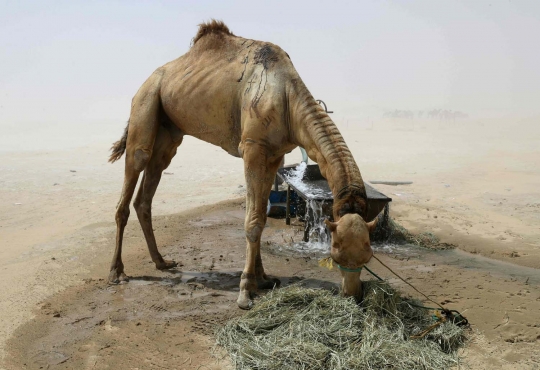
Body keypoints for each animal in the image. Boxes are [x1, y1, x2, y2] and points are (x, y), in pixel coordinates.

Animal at [107, 20, 378, 310]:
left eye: (368, 255)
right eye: (337, 254)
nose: (353, 295)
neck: (286, 96)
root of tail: (145, 83)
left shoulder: (273, 155)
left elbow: (260, 214)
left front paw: (263, 278)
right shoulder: (252, 147)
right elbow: (253, 220)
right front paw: (246, 291)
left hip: (169, 131)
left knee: (147, 190)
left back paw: (162, 261)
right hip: (145, 104)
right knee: (133, 173)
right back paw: (117, 272)